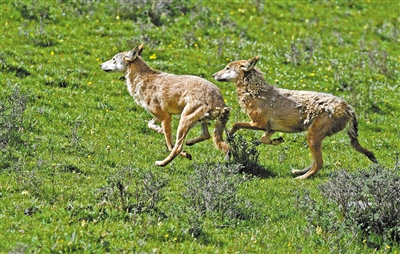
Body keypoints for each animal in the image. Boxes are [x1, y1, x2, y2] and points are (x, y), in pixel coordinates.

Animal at [100, 43, 230, 167]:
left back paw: (161, 163)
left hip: (183, 121)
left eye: (113, 59)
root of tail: (221, 101)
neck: (141, 78)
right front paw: (160, 130)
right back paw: (189, 142)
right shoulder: (161, 116)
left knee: (177, 148)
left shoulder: (165, 117)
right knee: (205, 135)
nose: (101, 65)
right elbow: (150, 125)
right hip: (198, 121)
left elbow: (169, 145)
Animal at [212, 56, 378, 179]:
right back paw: (298, 171)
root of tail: (347, 106)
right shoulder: (270, 128)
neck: (255, 92)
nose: (213, 75)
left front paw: (229, 135)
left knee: (319, 164)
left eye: (227, 68)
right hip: (313, 138)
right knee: (316, 162)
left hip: (312, 137)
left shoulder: (258, 123)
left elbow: (236, 124)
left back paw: (301, 178)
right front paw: (277, 141)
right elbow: (263, 139)